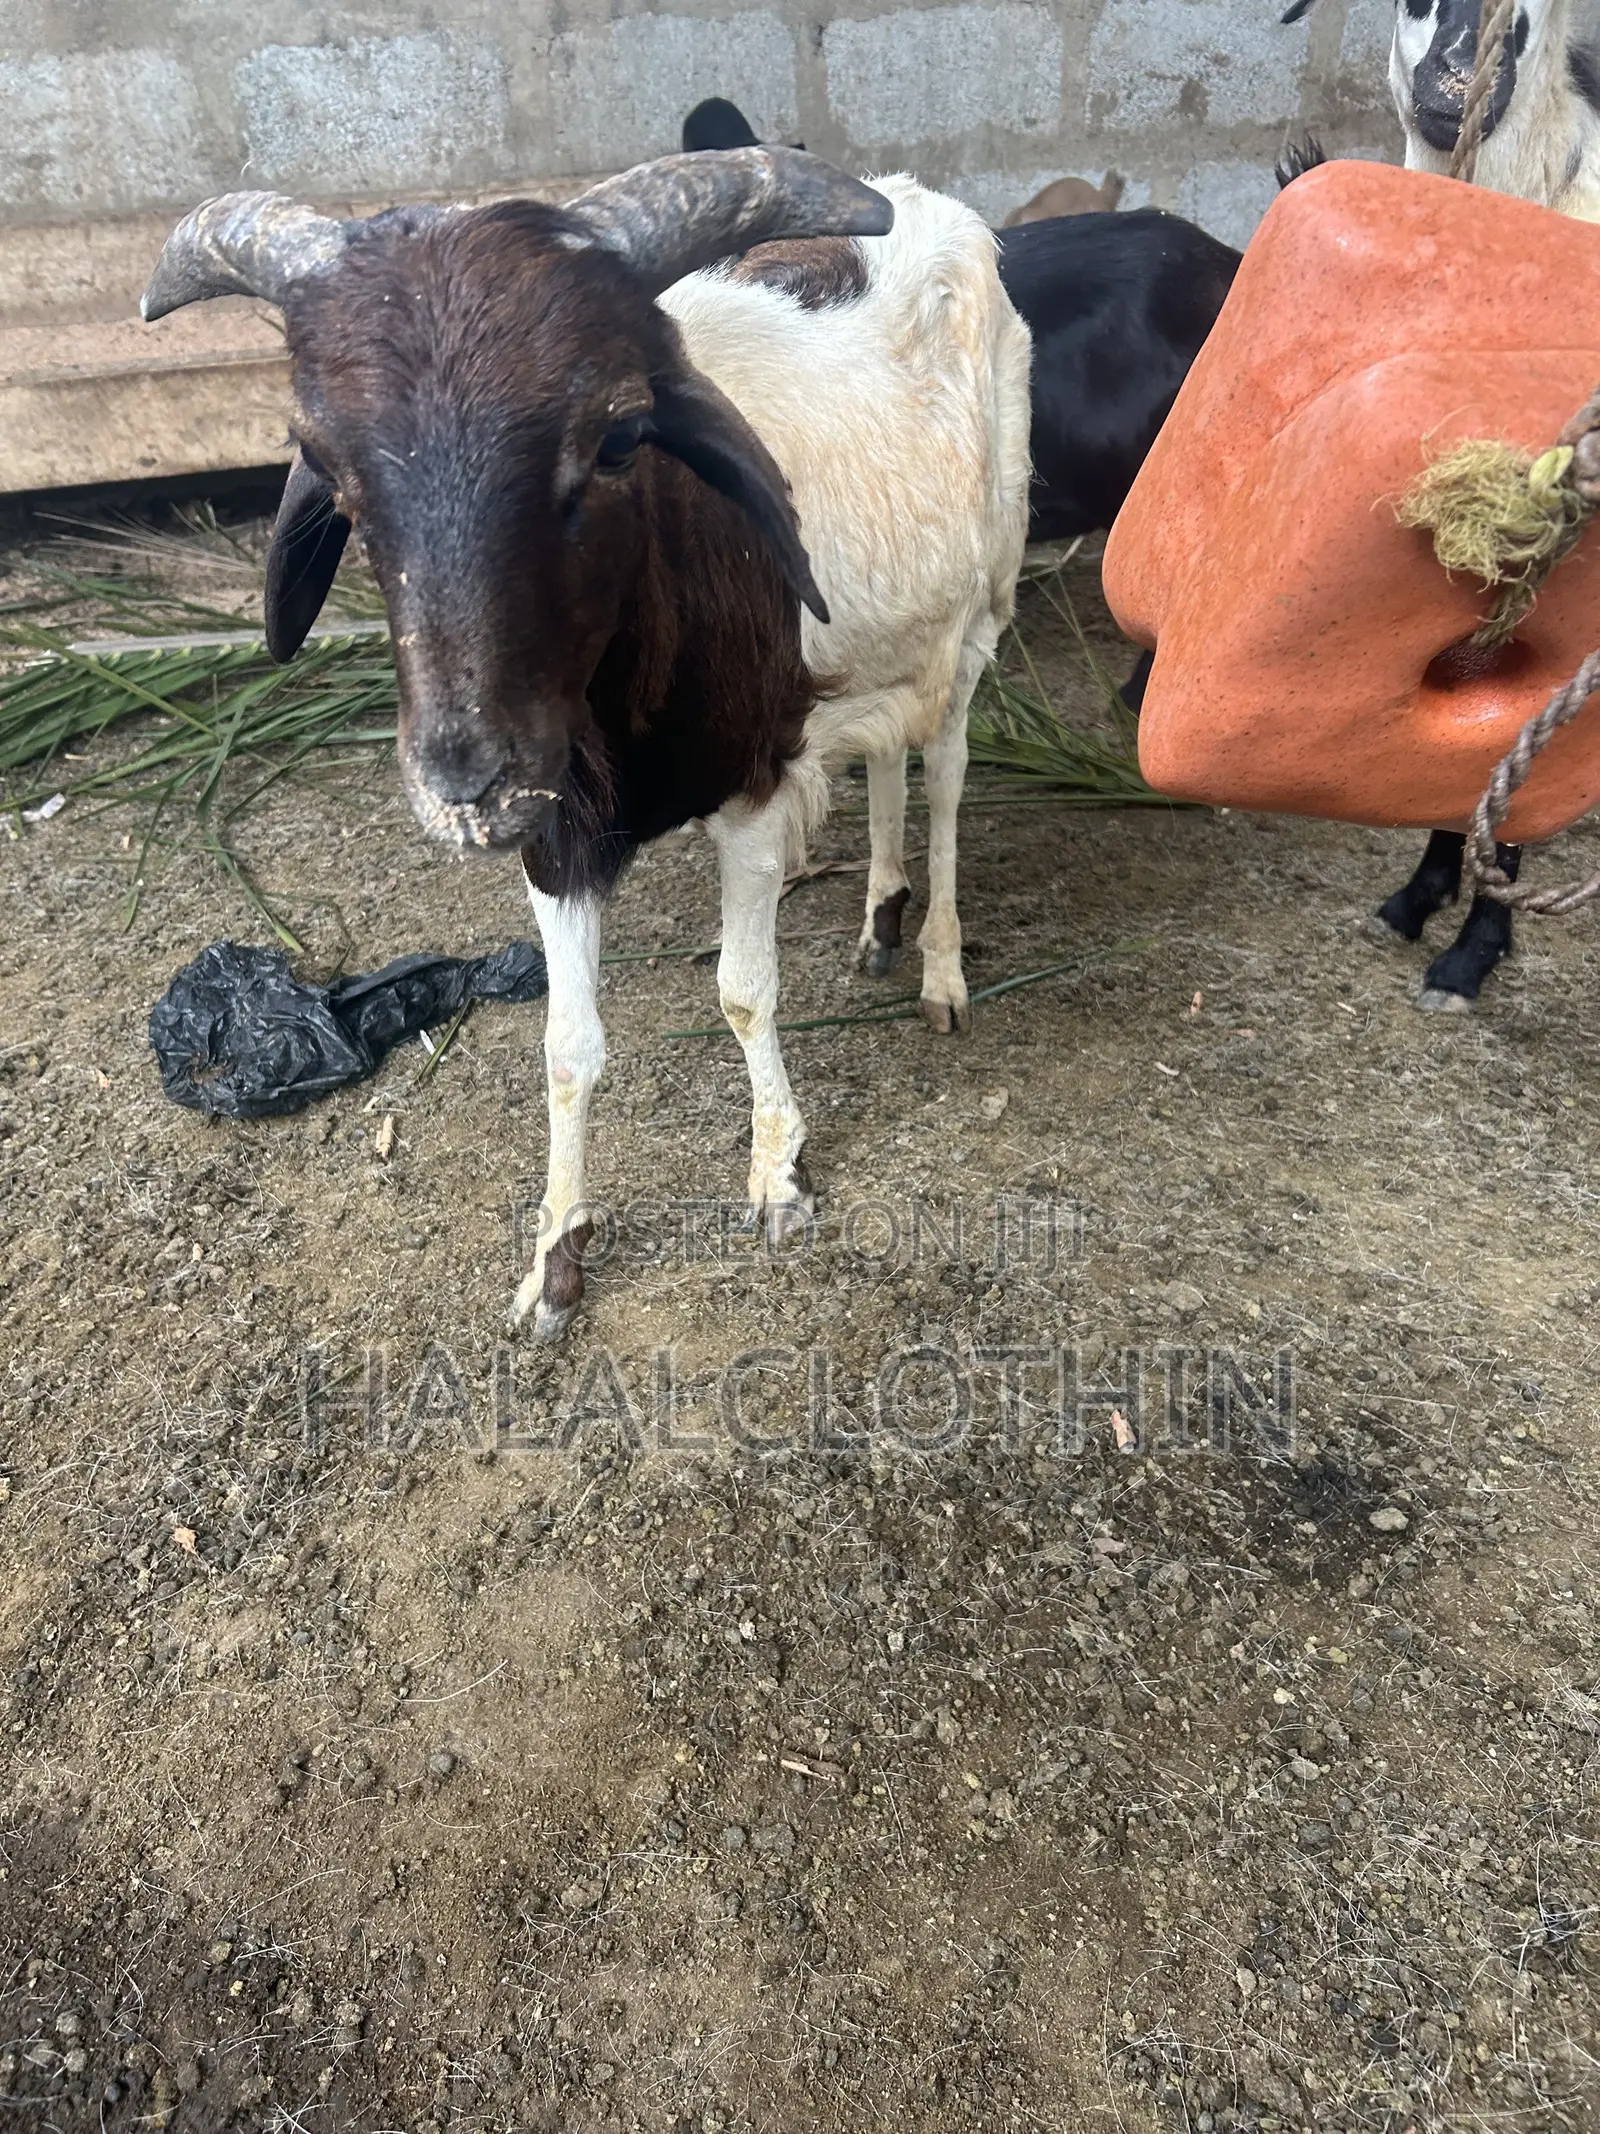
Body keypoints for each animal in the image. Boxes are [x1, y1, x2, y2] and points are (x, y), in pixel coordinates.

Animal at [142, 151, 1033, 1340]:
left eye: (617, 438)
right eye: (322, 461)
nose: (468, 780)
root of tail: (926, 199)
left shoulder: (753, 785)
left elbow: (744, 991)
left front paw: (780, 1179)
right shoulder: (556, 834)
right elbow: (567, 1048)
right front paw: (555, 1261)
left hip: (981, 613)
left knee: (945, 778)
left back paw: (936, 964)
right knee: (890, 755)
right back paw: (879, 914)